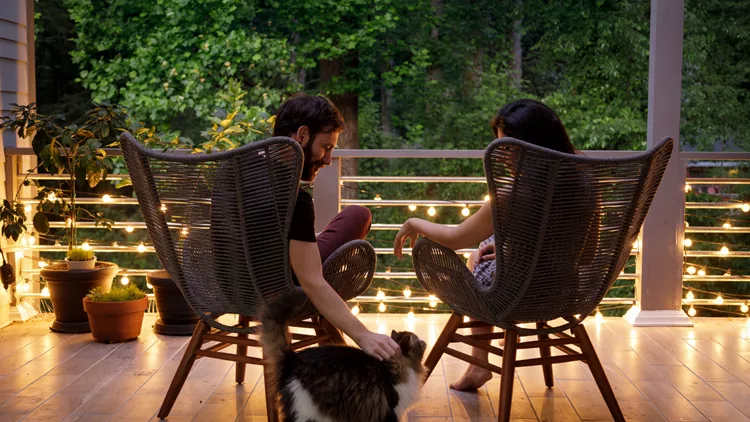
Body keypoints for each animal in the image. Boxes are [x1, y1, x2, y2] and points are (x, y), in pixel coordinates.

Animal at [262, 292, 428, 420]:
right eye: (418, 342)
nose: (424, 341)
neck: (393, 366)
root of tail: (293, 357)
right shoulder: (392, 411)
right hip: (306, 411)